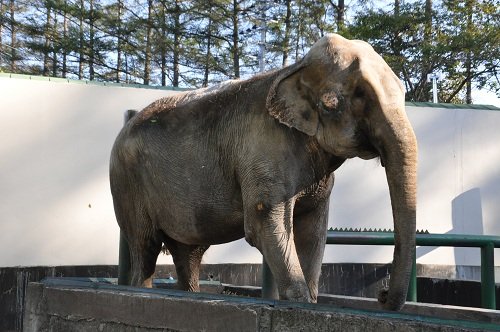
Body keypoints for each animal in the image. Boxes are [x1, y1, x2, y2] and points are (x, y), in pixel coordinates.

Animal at [110, 33, 418, 312]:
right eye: (343, 100)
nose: (382, 294)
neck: (294, 68)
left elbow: (313, 230)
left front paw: (310, 302)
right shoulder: (262, 151)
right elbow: (265, 222)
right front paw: (300, 303)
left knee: (188, 253)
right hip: (126, 183)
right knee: (145, 246)